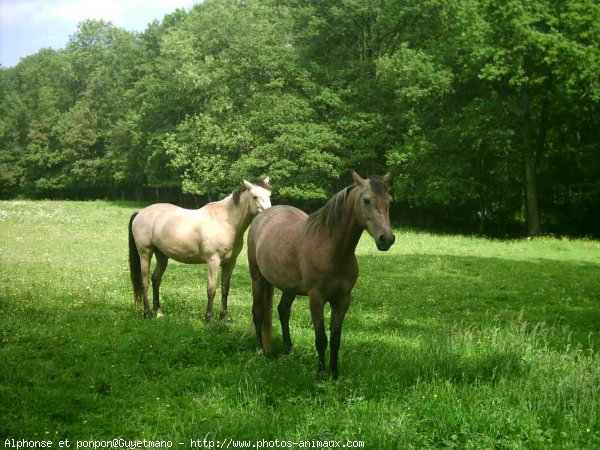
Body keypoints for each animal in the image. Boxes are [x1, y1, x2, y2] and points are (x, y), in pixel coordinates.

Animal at [130, 177, 274, 320]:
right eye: (255, 196)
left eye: (269, 195)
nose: (269, 215)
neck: (225, 223)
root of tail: (140, 213)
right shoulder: (213, 261)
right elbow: (211, 288)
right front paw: (208, 316)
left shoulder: (230, 263)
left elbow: (225, 288)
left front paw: (224, 317)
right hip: (145, 253)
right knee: (145, 282)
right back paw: (147, 313)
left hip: (161, 255)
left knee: (156, 279)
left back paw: (158, 312)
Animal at [247, 171, 394, 378]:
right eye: (366, 200)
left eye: (389, 200)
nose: (386, 239)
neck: (331, 248)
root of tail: (262, 216)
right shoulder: (316, 299)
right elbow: (321, 338)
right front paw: (321, 372)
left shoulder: (342, 299)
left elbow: (335, 339)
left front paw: (334, 373)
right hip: (258, 279)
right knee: (258, 312)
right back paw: (260, 350)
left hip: (289, 288)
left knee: (283, 311)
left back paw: (289, 349)